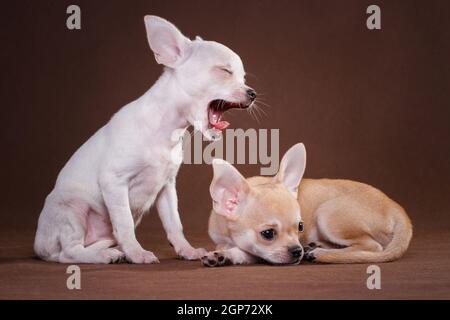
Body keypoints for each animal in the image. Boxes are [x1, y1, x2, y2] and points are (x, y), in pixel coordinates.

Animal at [202, 144, 414, 266]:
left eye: (300, 227)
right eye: (268, 234)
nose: (297, 251)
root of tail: (396, 208)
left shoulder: (260, 253)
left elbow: (244, 251)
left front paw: (224, 255)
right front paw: (222, 254)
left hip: (327, 214)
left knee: (372, 246)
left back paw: (319, 252)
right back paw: (317, 246)